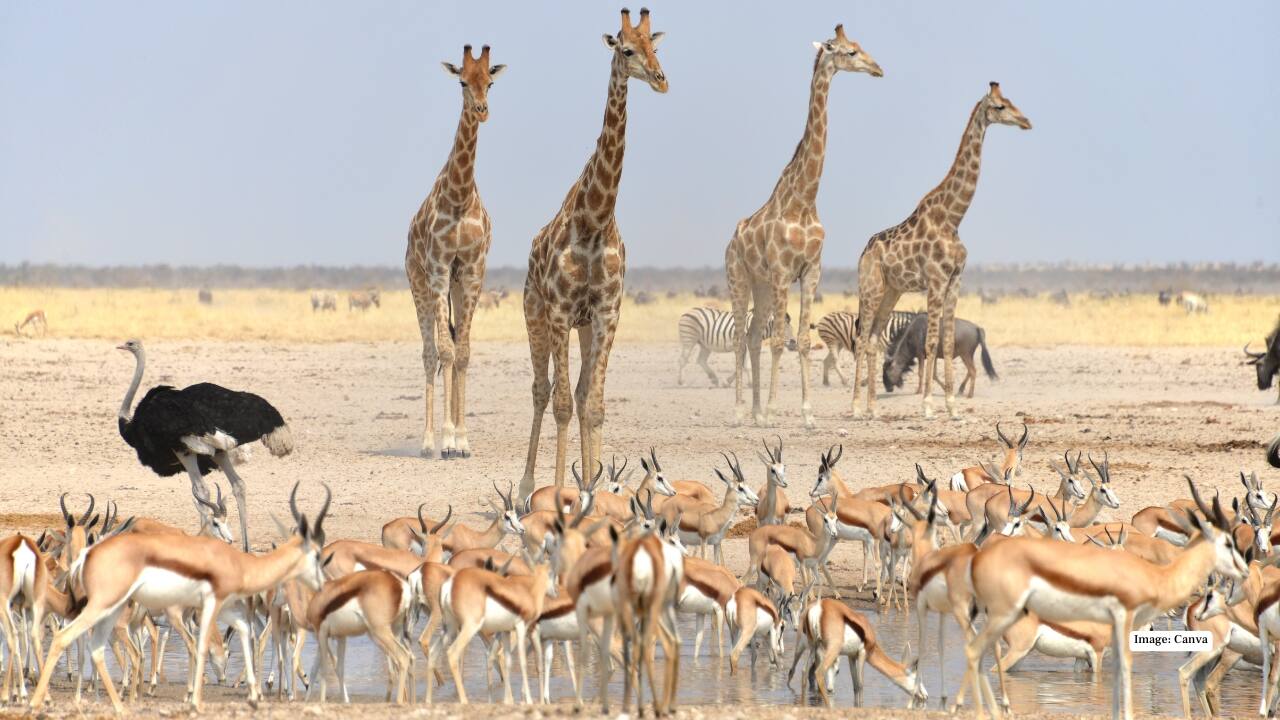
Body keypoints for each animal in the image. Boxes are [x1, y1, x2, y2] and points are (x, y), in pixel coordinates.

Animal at [519, 7, 667, 499]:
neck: (594, 219)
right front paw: (557, 492)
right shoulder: (560, 311)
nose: (661, 79)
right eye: (628, 50)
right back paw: (526, 487)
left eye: (656, 46)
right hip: (535, 313)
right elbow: (563, 403)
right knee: (542, 390)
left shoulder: (606, 312)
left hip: (583, 327)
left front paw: (593, 486)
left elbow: (593, 403)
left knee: (581, 394)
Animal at [725, 25, 883, 429]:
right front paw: (773, 411)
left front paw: (807, 414)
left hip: (763, 286)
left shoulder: (811, 270)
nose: (878, 69)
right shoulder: (783, 270)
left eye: (860, 46)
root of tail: (731, 240)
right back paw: (741, 412)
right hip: (740, 278)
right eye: (849, 51)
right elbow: (781, 340)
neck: (804, 200)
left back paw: (753, 412)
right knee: (739, 337)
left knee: (753, 336)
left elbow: (803, 338)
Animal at [851, 82, 1031, 420]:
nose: (1026, 121)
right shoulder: (935, 280)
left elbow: (947, 343)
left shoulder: (955, 280)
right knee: (861, 338)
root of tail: (863, 254)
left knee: (872, 340)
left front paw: (952, 406)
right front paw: (928, 407)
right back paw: (855, 408)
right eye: (1000, 106)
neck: (953, 217)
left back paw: (872, 408)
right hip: (870, 288)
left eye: (1011, 101)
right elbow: (931, 342)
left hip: (891, 290)